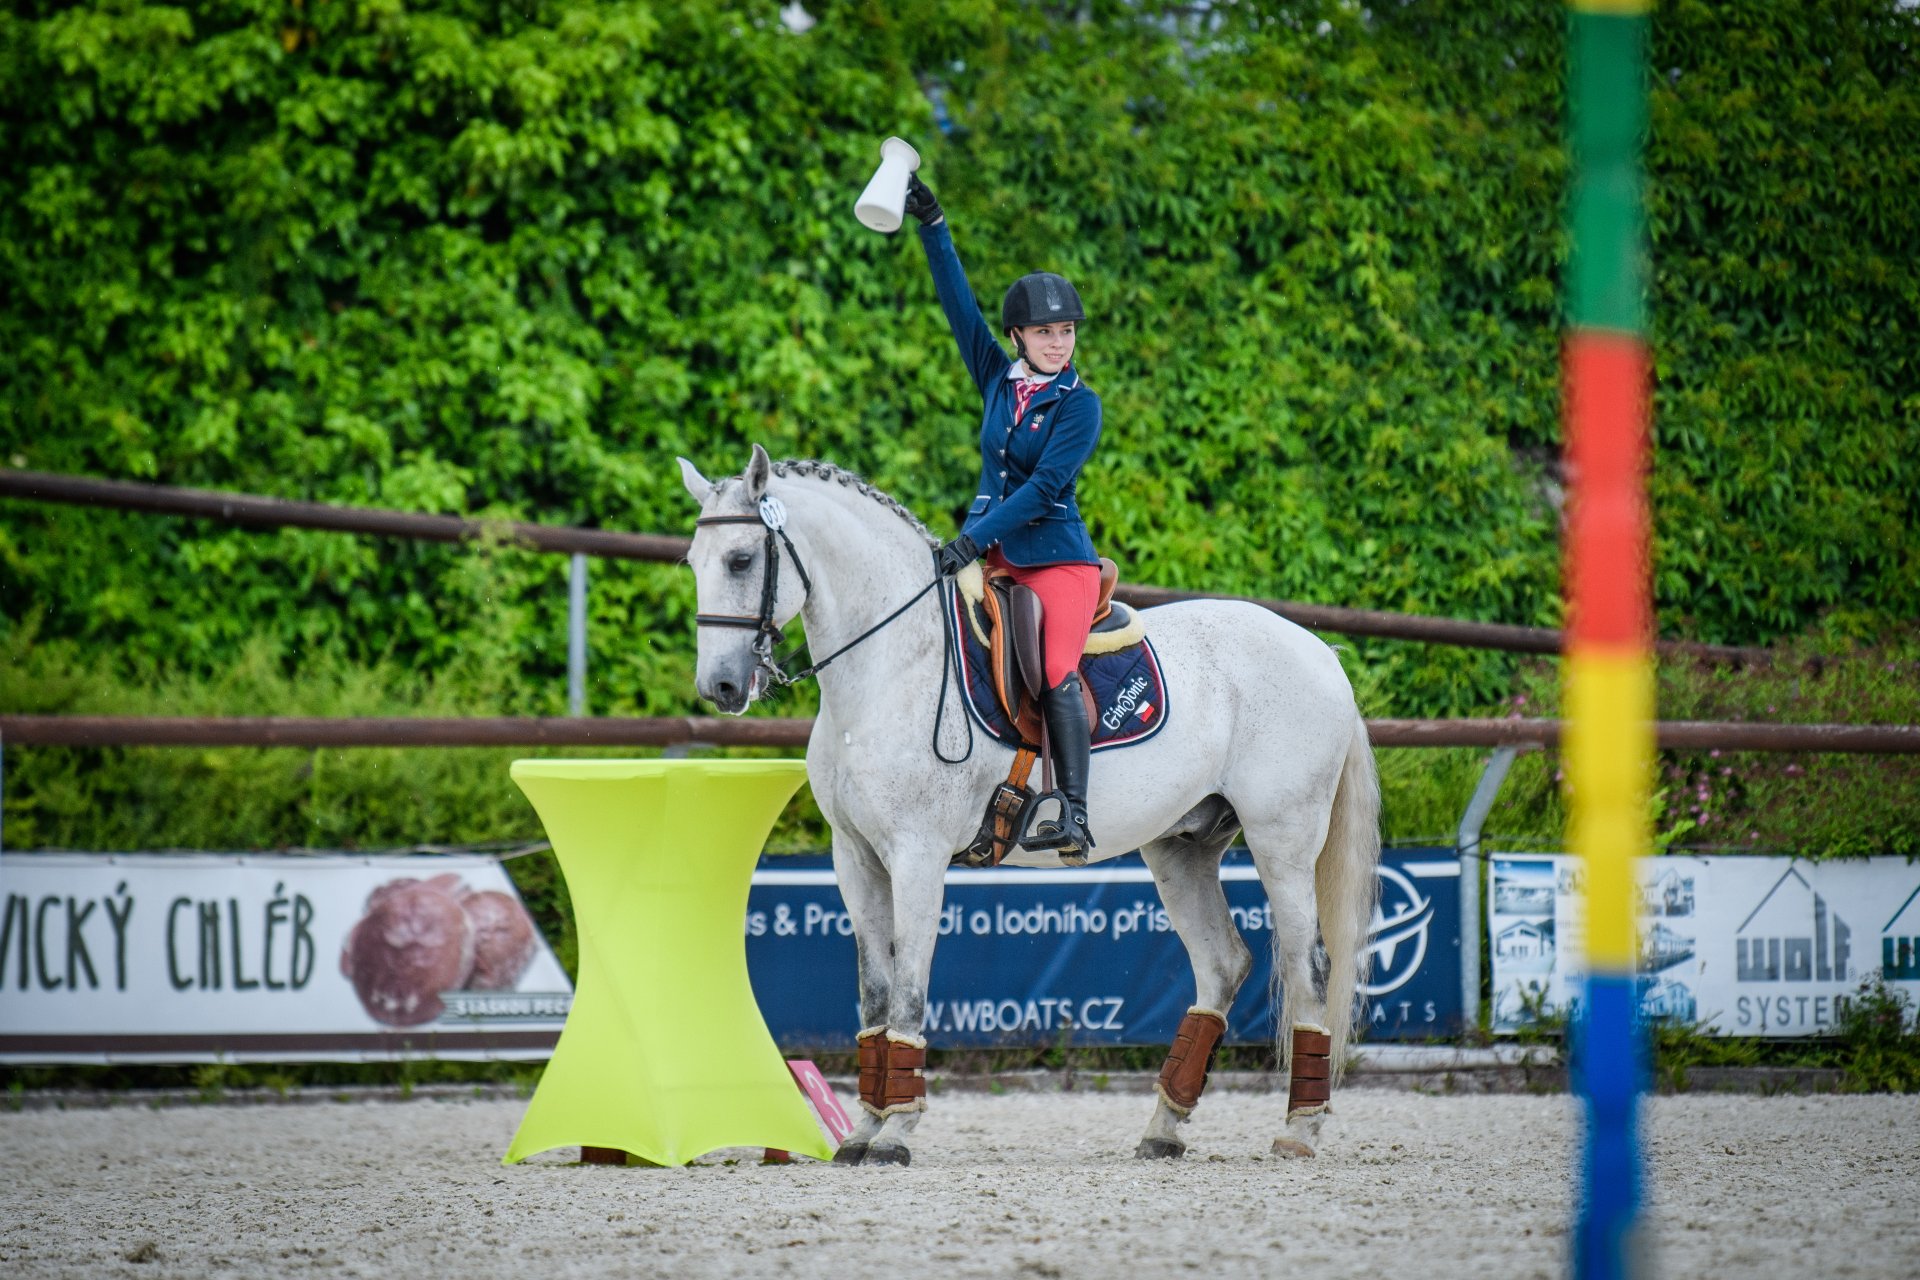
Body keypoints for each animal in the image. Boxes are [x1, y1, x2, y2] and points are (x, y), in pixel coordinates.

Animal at [683, 445, 1374, 1166]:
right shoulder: (855, 856)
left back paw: (1299, 1128)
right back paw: (1163, 1127)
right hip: (1181, 847)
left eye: (741, 559)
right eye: (694, 563)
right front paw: (863, 1129)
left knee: (1308, 966)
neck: (889, 668)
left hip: (1283, 840)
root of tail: (1319, 650)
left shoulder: (918, 856)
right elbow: (875, 990)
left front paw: (896, 1131)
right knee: (1222, 965)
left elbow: (910, 984)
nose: (720, 687)